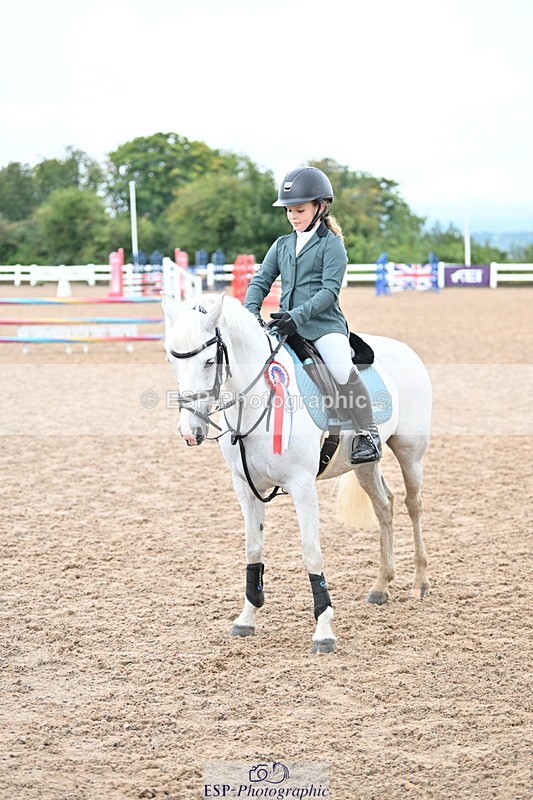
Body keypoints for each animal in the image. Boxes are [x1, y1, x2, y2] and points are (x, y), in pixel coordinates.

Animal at [162, 292, 432, 653]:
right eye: (171, 360)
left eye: (209, 362)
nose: (189, 431)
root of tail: (404, 349)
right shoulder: (245, 487)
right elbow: (253, 549)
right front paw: (246, 619)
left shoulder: (302, 486)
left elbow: (311, 553)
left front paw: (324, 631)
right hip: (364, 464)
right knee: (384, 507)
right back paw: (380, 586)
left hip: (409, 452)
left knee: (413, 506)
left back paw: (420, 582)